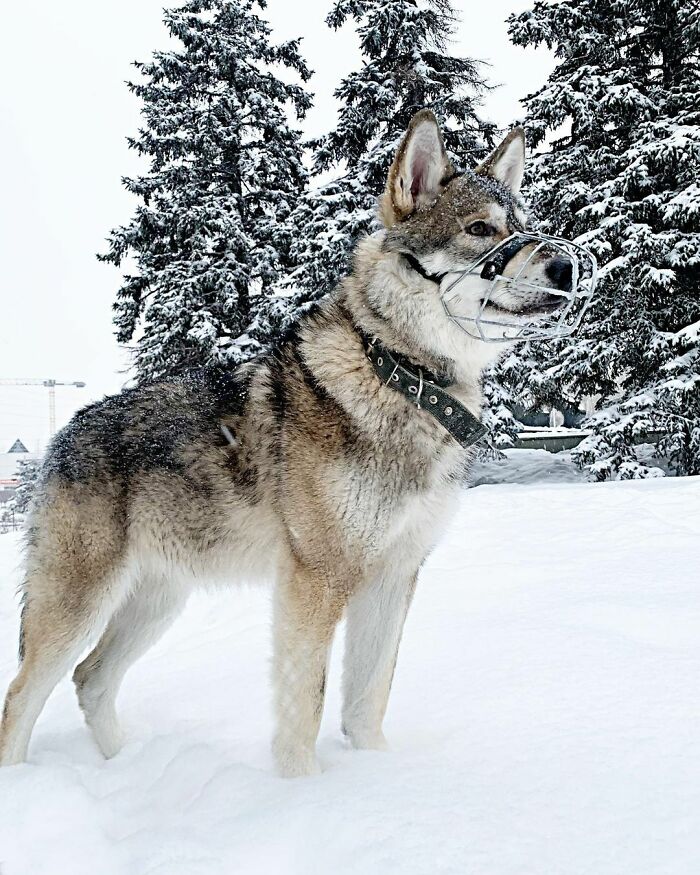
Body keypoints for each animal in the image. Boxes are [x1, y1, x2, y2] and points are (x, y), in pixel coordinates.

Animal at [0, 111, 573, 777]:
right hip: (77, 606)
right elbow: (306, 704)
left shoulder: (395, 575)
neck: (400, 376)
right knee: (23, 697)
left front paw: (378, 773)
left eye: (524, 227)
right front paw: (301, 788)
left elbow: (369, 697)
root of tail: (62, 435)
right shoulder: (315, 579)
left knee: (91, 679)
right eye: (480, 230)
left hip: (160, 598)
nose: (566, 268)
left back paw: (127, 766)